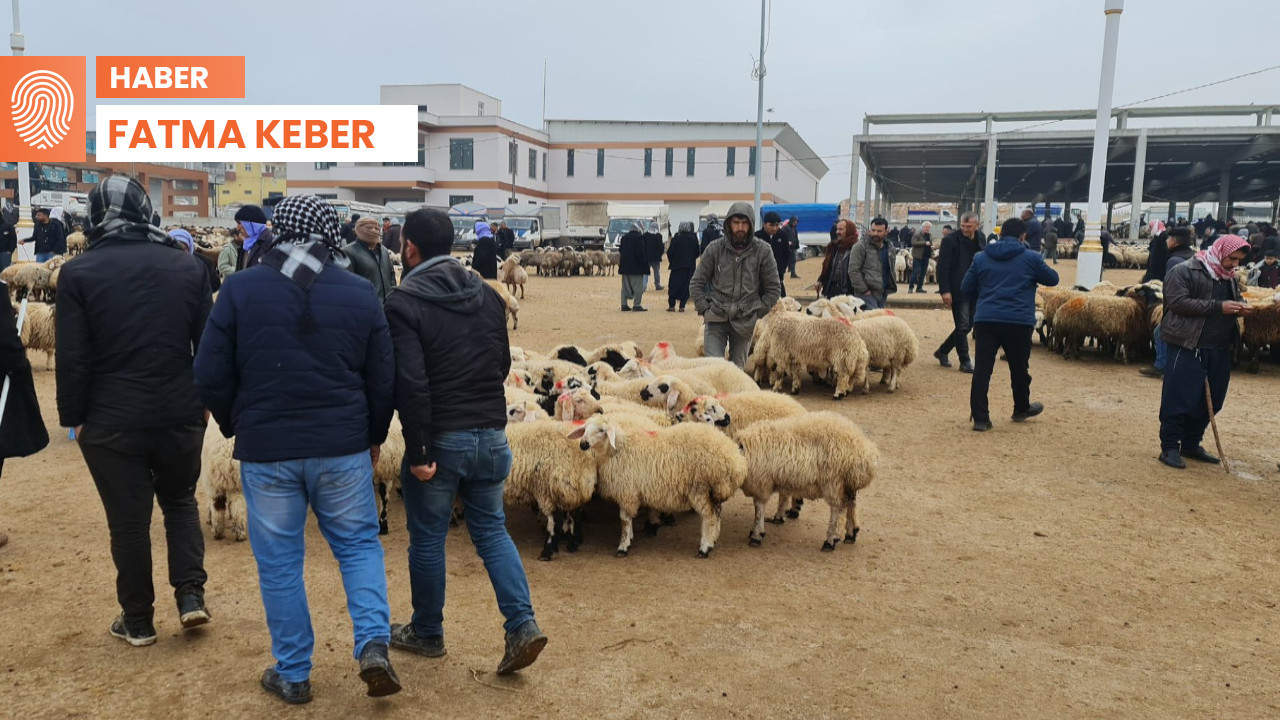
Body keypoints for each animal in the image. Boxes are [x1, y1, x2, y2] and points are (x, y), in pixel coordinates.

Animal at [504, 417, 599, 558]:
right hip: (568, 489)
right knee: (573, 516)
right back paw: (572, 545)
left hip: (547, 488)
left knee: (554, 521)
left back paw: (547, 551)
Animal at [565, 412, 747, 558]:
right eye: (585, 428)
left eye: (602, 430)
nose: (583, 444)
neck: (617, 449)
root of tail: (735, 458)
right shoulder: (631, 492)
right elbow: (628, 519)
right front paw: (630, 538)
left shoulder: (626, 491)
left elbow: (624, 520)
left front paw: (623, 546)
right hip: (713, 490)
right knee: (716, 513)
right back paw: (713, 540)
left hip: (700, 487)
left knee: (708, 516)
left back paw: (704, 548)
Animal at [737, 409, 875, 548]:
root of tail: (864, 450)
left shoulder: (761, 483)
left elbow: (758, 509)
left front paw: (756, 534)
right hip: (848, 483)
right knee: (851, 503)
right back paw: (851, 533)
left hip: (834, 481)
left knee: (837, 508)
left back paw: (831, 539)